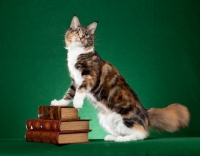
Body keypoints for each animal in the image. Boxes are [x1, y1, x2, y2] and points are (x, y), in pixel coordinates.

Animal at [50, 16, 190, 143]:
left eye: (86, 35)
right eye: (77, 32)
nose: (81, 38)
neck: (76, 53)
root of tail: (145, 112)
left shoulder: (89, 76)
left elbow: (80, 90)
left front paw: (77, 103)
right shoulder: (75, 80)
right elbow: (69, 94)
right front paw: (59, 103)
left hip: (126, 118)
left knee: (141, 133)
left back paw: (122, 139)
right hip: (106, 118)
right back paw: (112, 137)